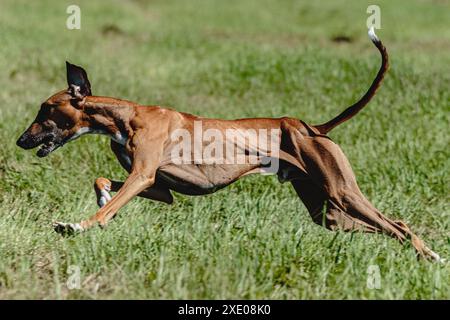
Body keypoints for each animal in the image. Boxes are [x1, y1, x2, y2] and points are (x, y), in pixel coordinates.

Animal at [16, 28, 442, 262]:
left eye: (45, 109)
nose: (21, 141)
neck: (125, 115)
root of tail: (312, 128)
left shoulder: (142, 177)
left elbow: (105, 209)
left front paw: (78, 225)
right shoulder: (160, 189)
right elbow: (103, 182)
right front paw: (103, 199)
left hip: (342, 192)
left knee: (397, 226)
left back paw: (432, 257)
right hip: (327, 212)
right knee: (394, 225)